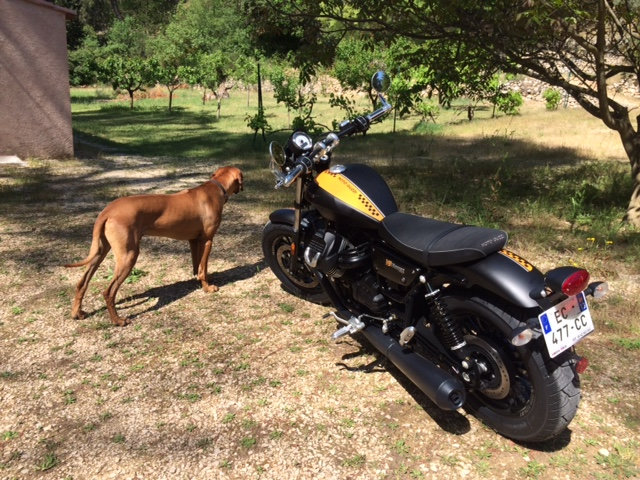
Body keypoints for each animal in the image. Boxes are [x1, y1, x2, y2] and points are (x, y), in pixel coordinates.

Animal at [65, 166, 243, 326]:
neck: (216, 187)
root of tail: (107, 210)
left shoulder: (193, 240)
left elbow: (197, 265)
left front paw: (198, 281)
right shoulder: (207, 240)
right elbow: (203, 268)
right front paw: (208, 287)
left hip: (101, 251)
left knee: (82, 282)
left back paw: (77, 313)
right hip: (129, 255)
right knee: (108, 292)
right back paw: (118, 321)